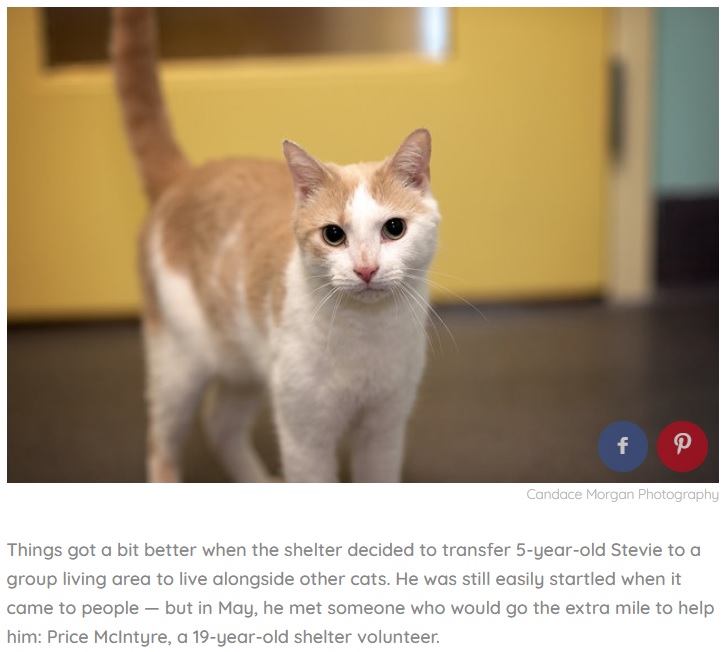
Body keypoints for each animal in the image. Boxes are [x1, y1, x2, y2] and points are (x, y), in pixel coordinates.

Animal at [112, 7, 444, 482]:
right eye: (333, 235)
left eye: (393, 228)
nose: (365, 268)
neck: (366, 334)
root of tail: (186, 176)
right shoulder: (306, 437)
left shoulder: (383, 430)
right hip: (178, 365)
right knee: (162, 443)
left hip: (246, 368)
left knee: (220, 423)